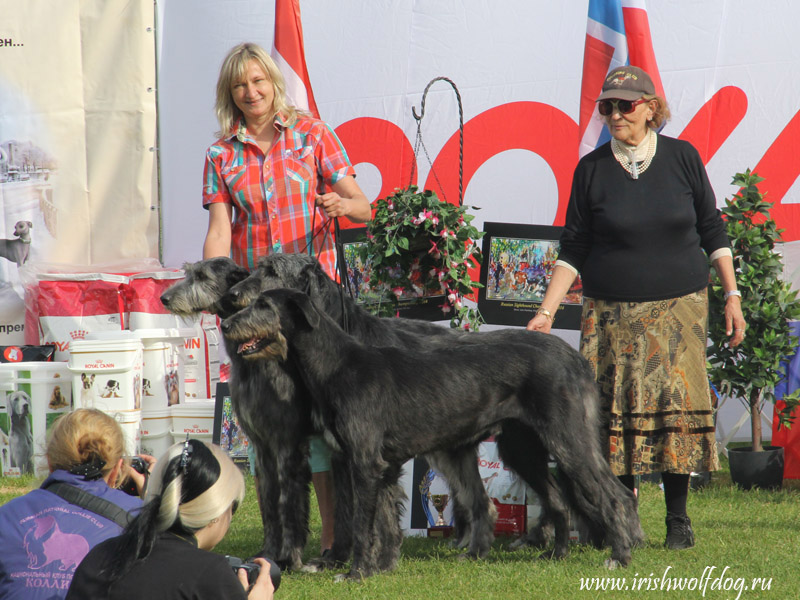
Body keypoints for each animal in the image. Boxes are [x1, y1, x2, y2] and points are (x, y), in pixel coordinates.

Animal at [220, 288, 644, 580]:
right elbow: (382, 522)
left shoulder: (365, 463)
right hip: (523, 447)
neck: (337, 364)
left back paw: (620, 556)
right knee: (557, 499)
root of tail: (575, 358)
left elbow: (361, 526)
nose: (224, 324)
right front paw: (380, 568)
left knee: (616, 495)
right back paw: (556, 555)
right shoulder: (380, 467)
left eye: (264, 304)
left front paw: (356, 573)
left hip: (569, 439)